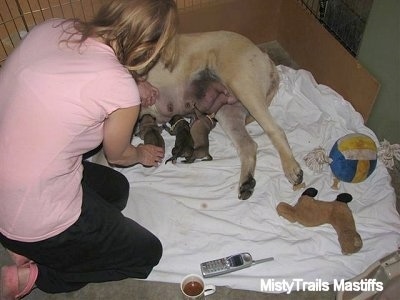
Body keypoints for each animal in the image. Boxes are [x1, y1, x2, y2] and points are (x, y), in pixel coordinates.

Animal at [138, 31, 304, 199]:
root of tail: (263, 54)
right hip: (229, 112)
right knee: (248, 145)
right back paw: (246, 183)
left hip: (243, 86)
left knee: (275, 130)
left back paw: (291, 167)